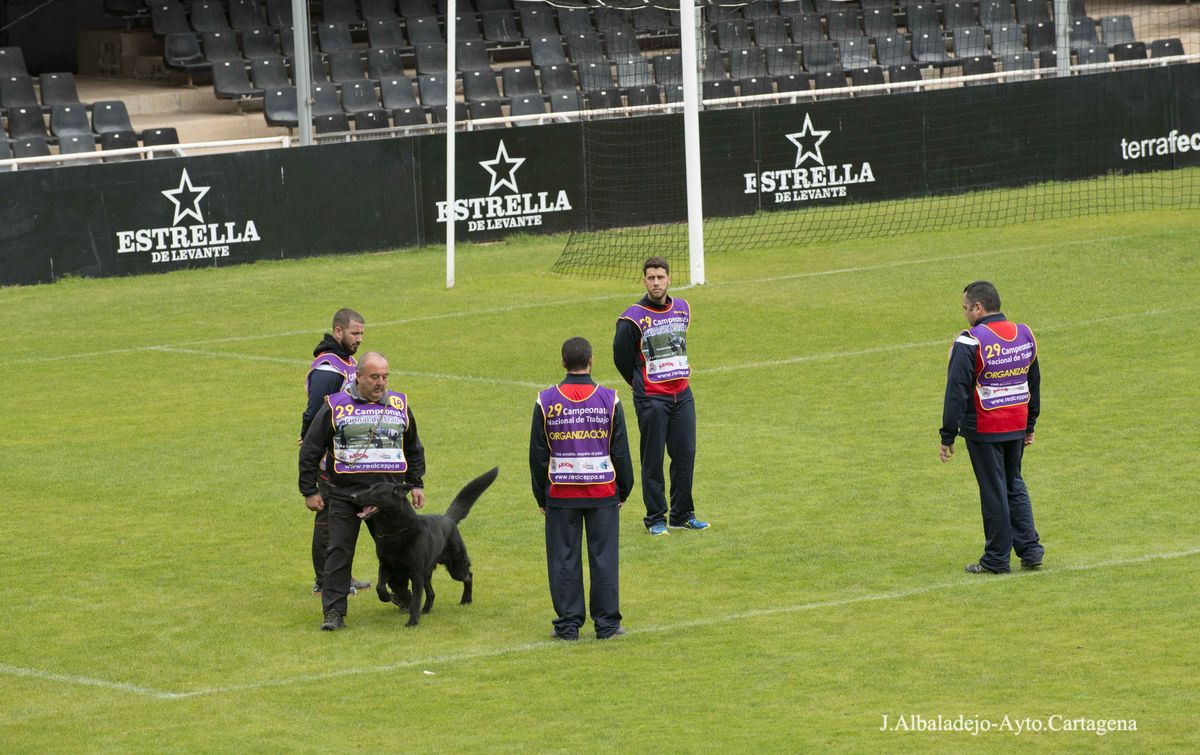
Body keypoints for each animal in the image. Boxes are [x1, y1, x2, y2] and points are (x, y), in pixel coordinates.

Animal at [354, 467, 498, 627]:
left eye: (375, 491)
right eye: (369, 488)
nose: (353, 496)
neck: (395, 531)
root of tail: (448, 519)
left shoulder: (416, 574)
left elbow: (416, 599)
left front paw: (412, 622)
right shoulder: (385, 566)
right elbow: (380, 587)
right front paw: (387, 597)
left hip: (455, 568)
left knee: (468, 576)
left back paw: (466, 600)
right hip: (427, 574)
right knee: (432, 593)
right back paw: (426, 609)